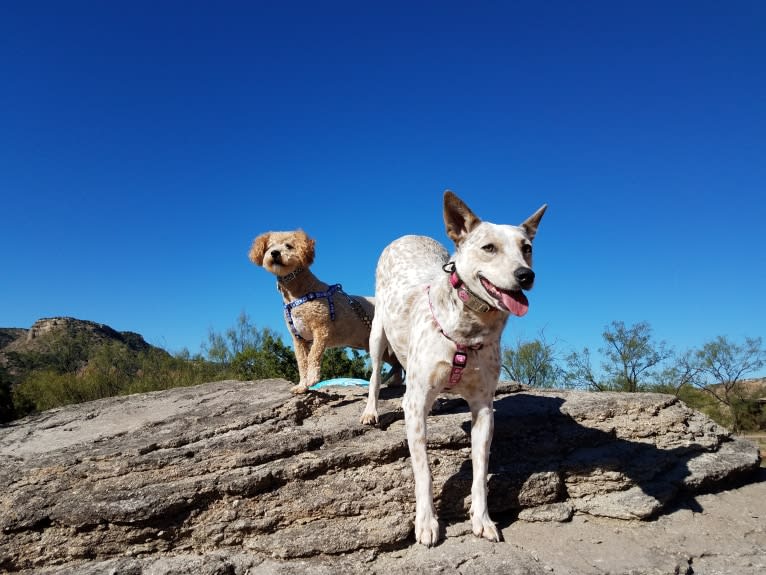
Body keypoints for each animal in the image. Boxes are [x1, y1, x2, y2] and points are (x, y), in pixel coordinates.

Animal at [364, 191, 548, 548]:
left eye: (527, 248)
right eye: (489, 247)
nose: (526, 275)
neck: (469, 328)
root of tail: (408, 235)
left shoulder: (484, 408)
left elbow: (480, 471)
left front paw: (482, 519)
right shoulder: (416, 403)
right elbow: (423, 470)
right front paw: (426, 522)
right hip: (377, 330)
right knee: (376, 372)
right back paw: (371, 411)